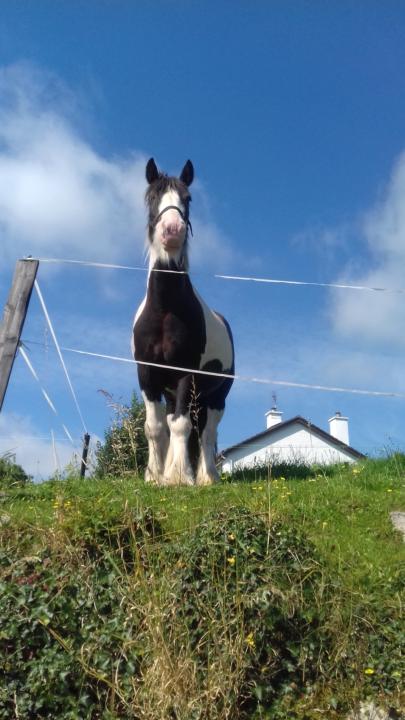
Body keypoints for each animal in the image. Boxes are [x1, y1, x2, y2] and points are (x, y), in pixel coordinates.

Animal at [132, 158, 234, 486]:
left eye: (187, 199)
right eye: (152, 196)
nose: (172, 230)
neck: (164, 310)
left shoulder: (185, 374)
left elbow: (181, 425)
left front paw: (179, 477)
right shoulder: (147, 375)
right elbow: (155, 427)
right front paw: (154, 476)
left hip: (215, 397)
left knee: (206, 433)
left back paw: (207, 477)